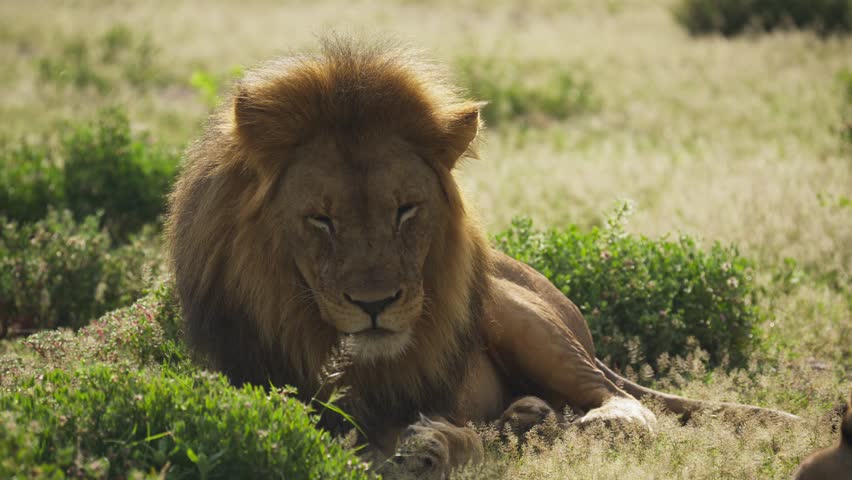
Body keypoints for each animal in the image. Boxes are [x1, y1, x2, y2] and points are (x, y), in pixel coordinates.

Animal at [166, 37, 799, 477]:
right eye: (321, 219)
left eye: (407, 210)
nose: (375, 304)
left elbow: (445, 437)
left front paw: (433, 448)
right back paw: (528, 419)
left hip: (522, 317)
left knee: (622, 402)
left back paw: (580, 425)